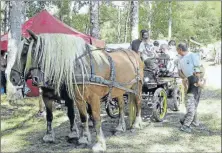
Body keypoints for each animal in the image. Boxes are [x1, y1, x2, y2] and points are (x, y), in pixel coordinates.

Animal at [12, 31, 145, 152]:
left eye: (29, 53)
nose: (13, 78)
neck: (82, 67)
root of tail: (134, 54)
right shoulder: (77, 98)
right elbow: (82, 117)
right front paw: (84, 138)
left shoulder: (93, 99)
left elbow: (96, 119)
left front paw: (100, 144)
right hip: (119, 90)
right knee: (121, 106)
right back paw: (120, 127)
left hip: (137, 87)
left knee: (138, 103)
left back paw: (136, 124)